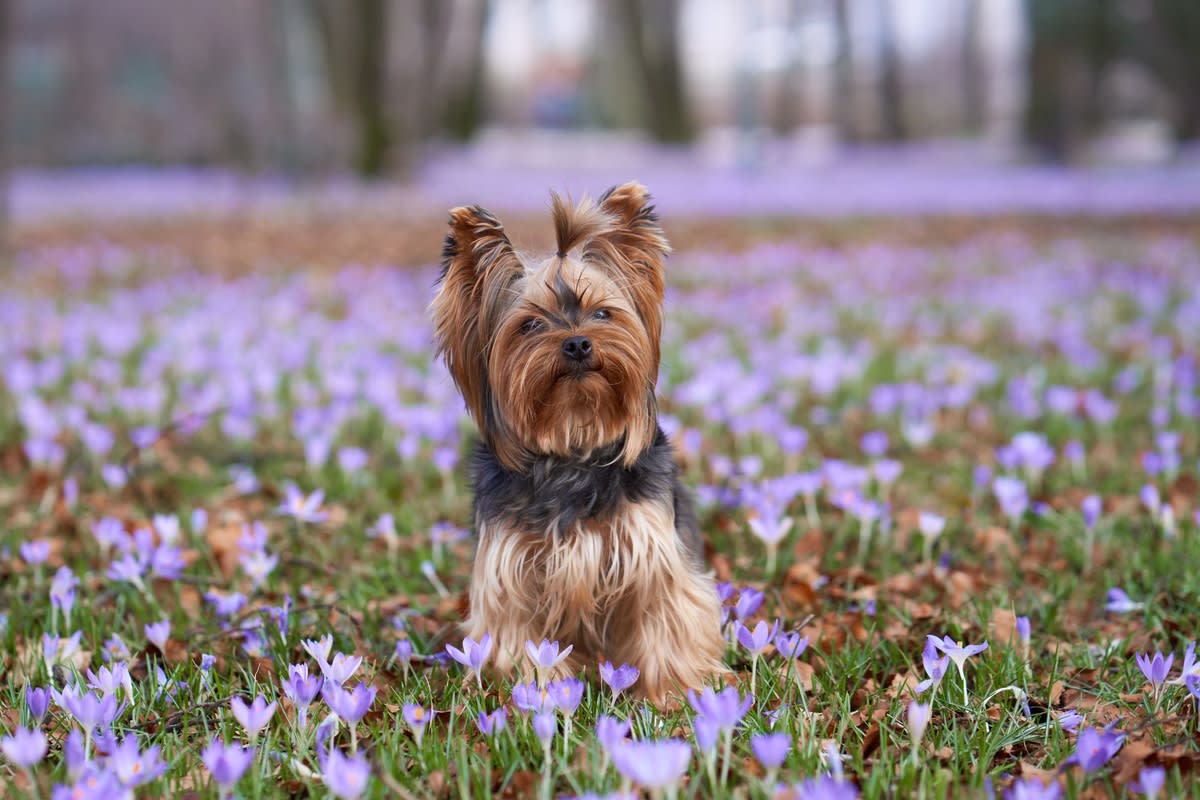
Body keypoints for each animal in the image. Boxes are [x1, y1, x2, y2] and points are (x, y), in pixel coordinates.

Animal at [436, 181, 724, 700]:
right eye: (530, 324)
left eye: (603, 313)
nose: (576, 343)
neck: (573, 442)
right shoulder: (512, 571)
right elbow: (520, 635)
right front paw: (540, 696)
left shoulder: (650, 553)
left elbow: (666, 615)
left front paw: (673, 695)